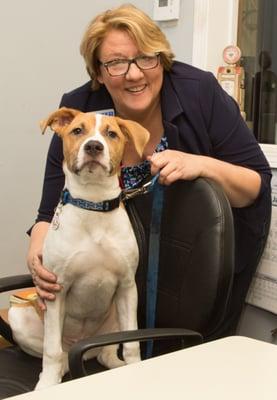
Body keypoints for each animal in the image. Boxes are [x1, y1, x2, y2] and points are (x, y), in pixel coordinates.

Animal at [8, 107, 149, 390]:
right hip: (21, 317)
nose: (94, 146)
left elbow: (131, 344)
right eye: (77, 130)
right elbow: (51, 351)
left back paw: (114, 364)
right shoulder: (57, 291)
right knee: (59, 353)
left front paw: (134, 369)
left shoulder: (127, 286)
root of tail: (82, 348)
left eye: (111, 134)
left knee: (107, 352)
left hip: (118, 311)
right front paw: (46, 386)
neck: (93, 203)